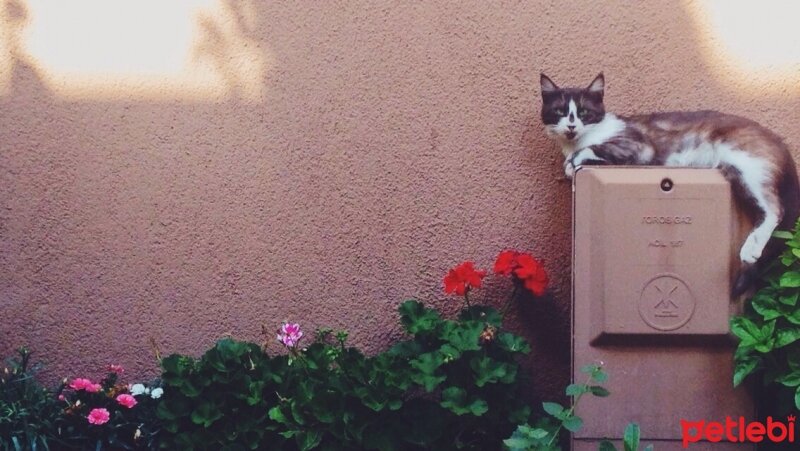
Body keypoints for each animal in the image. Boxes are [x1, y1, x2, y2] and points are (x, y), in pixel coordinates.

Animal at [540, 71, 796, 296]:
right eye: (559, 111)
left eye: (583, 112)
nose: (571, 126)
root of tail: (781, 144)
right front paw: (570, 165)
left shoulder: (639, 146)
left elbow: (593, 149)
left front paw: (574, 161)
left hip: (747, 163)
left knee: (775, 208)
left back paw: (751, 249)